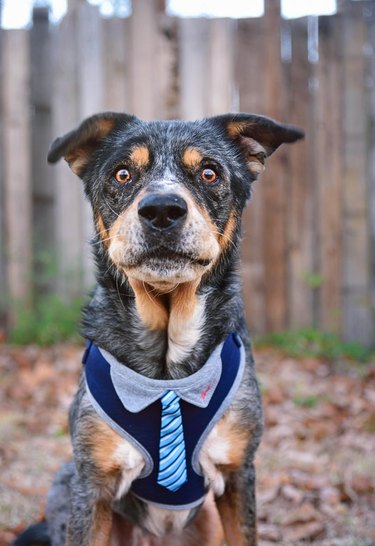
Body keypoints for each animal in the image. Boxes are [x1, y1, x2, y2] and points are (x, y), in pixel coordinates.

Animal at [13, 111, 304, 544]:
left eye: (209, 173)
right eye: (122, 174)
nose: (163, 209)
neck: (167, 372)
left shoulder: (238, 473)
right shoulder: (92, 483)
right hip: (65, 486)